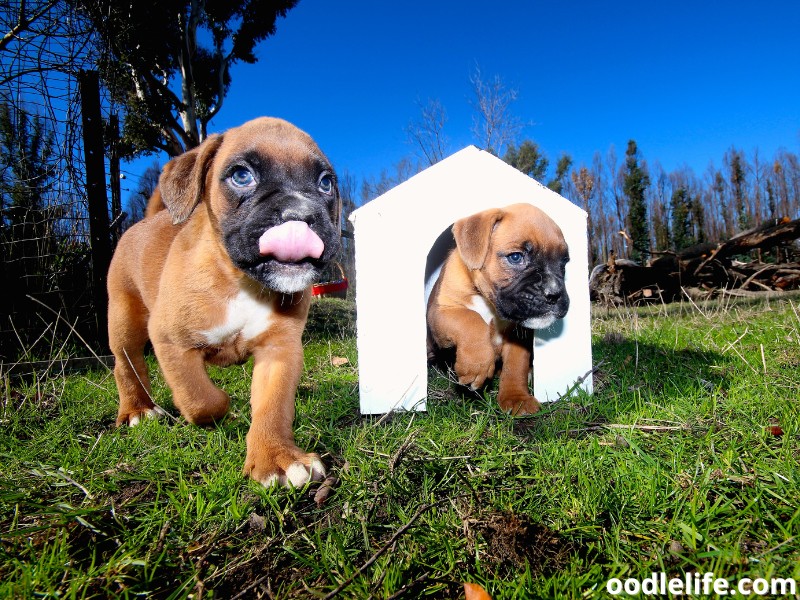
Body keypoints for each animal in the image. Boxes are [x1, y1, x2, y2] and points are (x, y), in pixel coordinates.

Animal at [107, 117, 340, 488]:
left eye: (325, 183)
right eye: (241, 176)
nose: (301, 213)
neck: (242, 281)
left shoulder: (280, 350)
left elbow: (273, 406)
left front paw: (276, 458)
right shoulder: (171, 342)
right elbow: (200, 399)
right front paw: (223, 411)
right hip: (125, 319)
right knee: (126, 363)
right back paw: (137, 410)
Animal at [424, 204, 568, 414]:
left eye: (564, 263)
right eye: (515, 257)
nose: (555, 293)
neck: (489, 303)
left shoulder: (519, 337)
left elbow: (515, 366)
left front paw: (516, 398)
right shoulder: (442, 313)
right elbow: (470, 319)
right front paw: (476, 365)